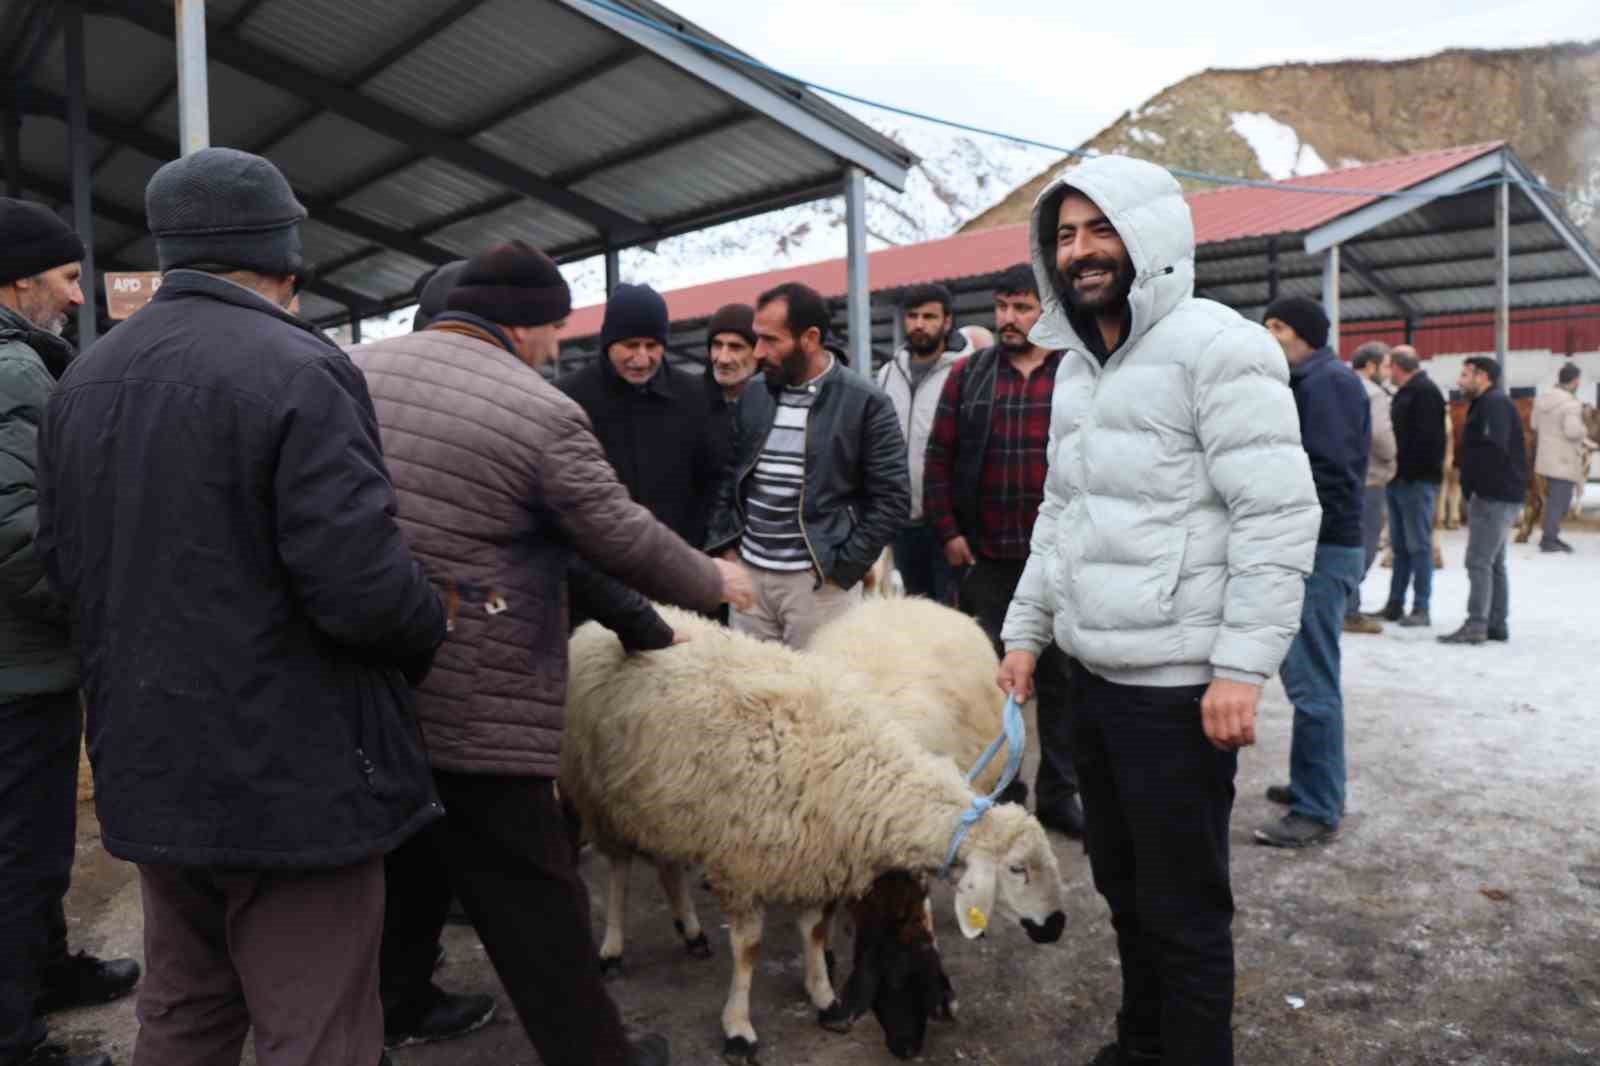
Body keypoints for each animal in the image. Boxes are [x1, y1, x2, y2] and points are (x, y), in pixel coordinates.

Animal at [560, 601, 1062, 1056]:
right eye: (1017, 869)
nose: (1056, 926)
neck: (858, 769)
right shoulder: (745, 864)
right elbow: (749, 951)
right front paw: (738, 1027)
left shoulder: (812, 854)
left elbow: (814, 930)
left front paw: (823, 994)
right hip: (599, 795)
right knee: (619, 869)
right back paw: (613, 949)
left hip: (664, 801)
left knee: (666, 864)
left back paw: (692, 931)